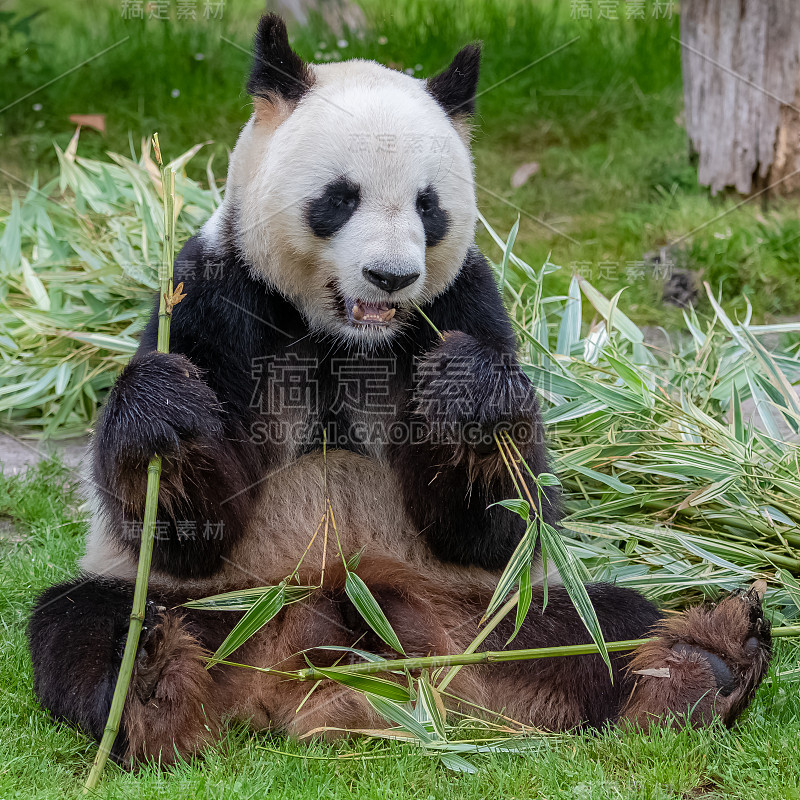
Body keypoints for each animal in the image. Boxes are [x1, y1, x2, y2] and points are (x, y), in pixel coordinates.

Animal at [28, 15, 772, 764]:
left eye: (428, 205)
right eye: (340, 197)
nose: (392, 276)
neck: (344, 335)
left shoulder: (462, 305)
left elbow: (502, 521)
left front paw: (469, 398)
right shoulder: (216, 297)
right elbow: (185, 525)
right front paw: (165, 409)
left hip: (490, 611)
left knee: (603, 625)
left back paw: (704, 666)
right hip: (219, 606)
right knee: (84, 624)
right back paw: (152, 690)